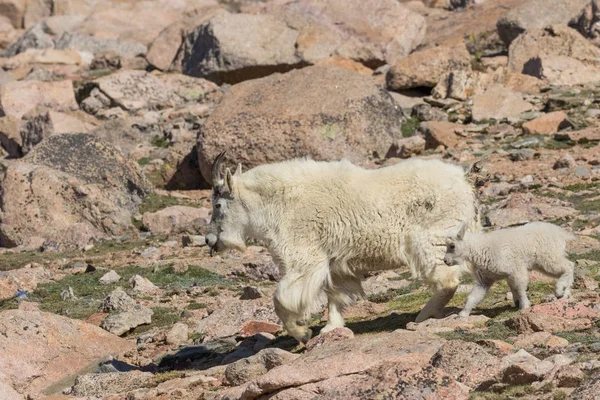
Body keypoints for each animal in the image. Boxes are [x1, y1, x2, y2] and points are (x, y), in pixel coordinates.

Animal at [204, 153, 480, 344]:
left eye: (217, 205)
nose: (208, 240)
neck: (275, 203)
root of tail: (464, 182)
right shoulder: (335, 261)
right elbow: (335, 294)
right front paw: (331, 327)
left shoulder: (304, 255)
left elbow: (281, 298)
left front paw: (302, 333)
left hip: (432, 238)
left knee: (447, 280)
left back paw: (422, 317)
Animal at [446, 220, 576, 318]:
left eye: (452, 246)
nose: (446, 261)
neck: (480, 249)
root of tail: (562, 233)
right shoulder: (486, 279)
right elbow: (473, 296)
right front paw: (463, 314)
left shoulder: (516, 269)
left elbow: (519, 289)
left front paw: (524, 306)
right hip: (545, 261)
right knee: (567, 267)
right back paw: (565, 293)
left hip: (548, 257)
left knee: (569, 266)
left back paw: (559, 290)